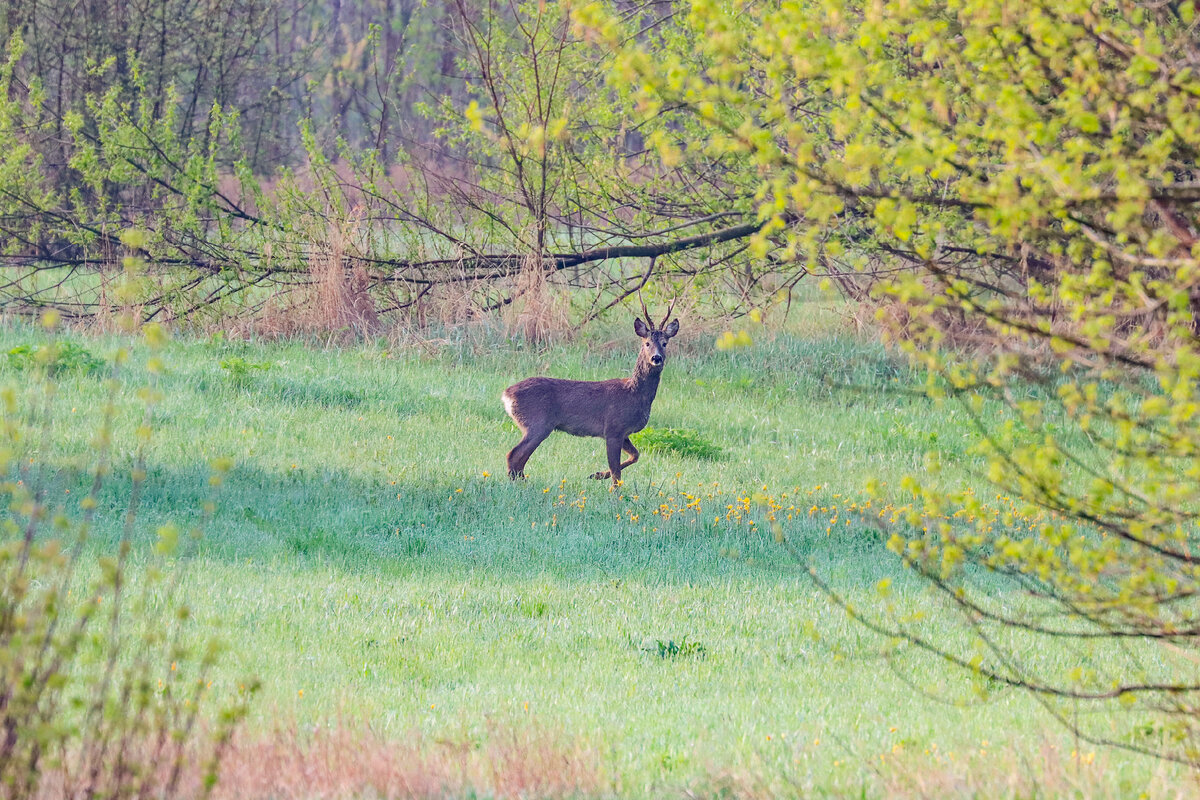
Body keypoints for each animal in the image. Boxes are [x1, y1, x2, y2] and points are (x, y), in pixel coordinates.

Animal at [502, 301, 680, 486]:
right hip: (537, 423)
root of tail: (506, 395)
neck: (634, 394)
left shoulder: (623, 433)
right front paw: (611, 488)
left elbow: (635, 455)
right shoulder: (613, 428)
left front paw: (597, 474)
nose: (656, 358)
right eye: (647, 343)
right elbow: (616, 473)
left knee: (518, 459)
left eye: (665, 343)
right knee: (513, 455)